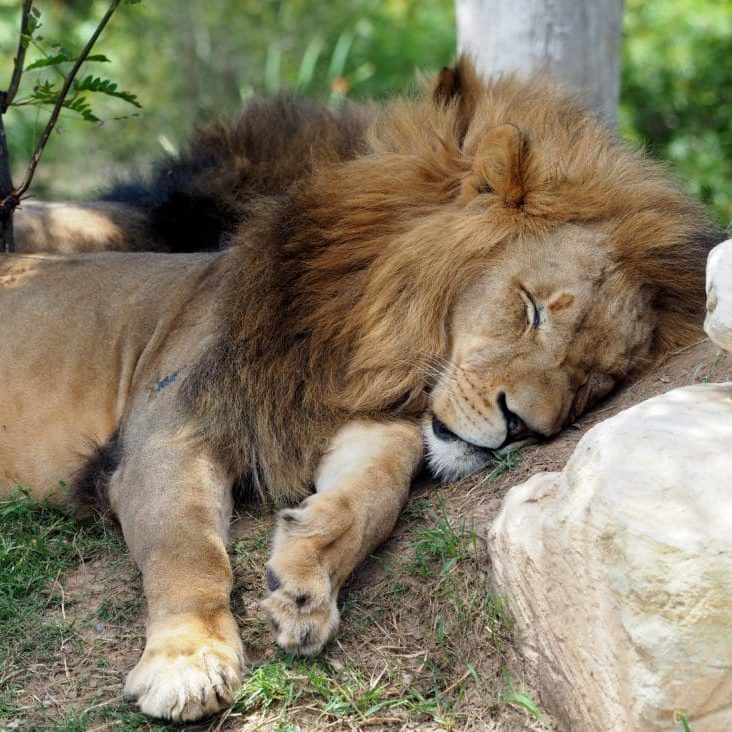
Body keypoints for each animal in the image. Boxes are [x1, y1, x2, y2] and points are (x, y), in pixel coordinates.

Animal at [0, 59, 719, 722]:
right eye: (531, 309)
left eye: (594, 382)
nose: (523, 427)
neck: (364, 351)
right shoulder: (171, 431)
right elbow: (187, 548)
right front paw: (187, 660)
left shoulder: (370, 424)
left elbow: (373, 494)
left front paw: (305, 581)